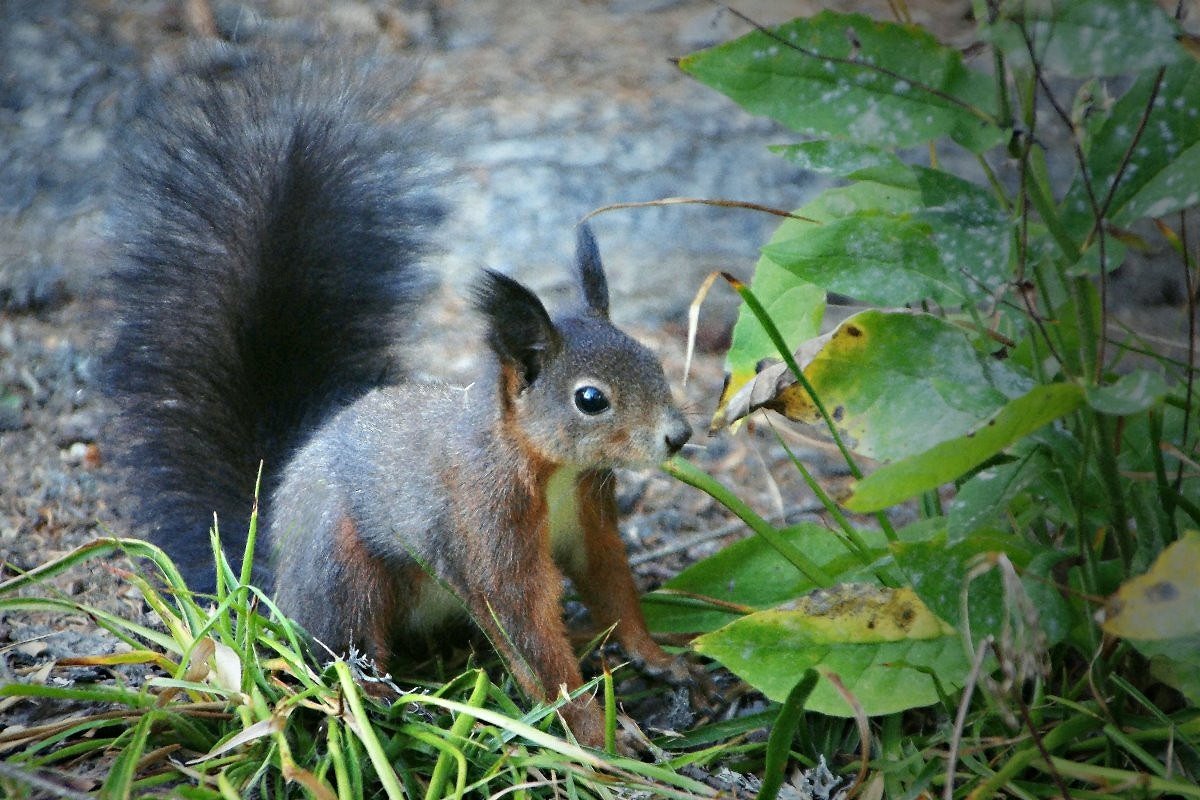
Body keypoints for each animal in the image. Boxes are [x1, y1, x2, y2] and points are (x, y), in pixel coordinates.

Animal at [105, 50, 700, 753]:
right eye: (590, 399)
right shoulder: (484, 527)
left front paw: (656, 657)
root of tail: (273, 566)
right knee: (340, 647)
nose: (678, 436)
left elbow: (611, 584)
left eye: (654, 360)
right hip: (346, 567)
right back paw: (386, 698)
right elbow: (527, 632)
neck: (550, 467)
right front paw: (594, 733)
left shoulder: (590, 514)